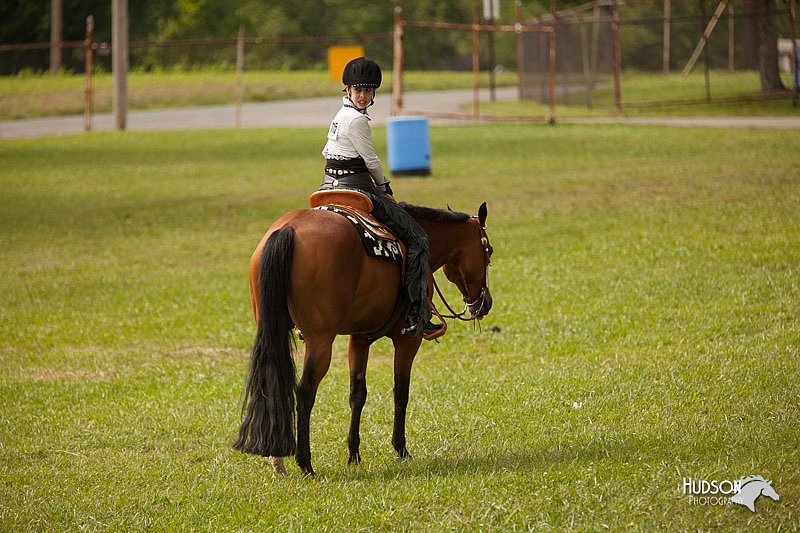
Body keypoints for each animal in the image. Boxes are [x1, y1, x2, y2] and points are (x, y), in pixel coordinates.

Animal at [233, 196, 494, 474]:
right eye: (488, 252)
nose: (485, 303)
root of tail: (288, 229)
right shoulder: (407, 340)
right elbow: (401, 391)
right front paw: (401, 449)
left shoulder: (359, 338)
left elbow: (357, 394)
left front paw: (353, 454)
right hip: (320, 340)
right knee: (304, 391)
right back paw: (306, 463)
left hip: (273, 330)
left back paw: (277, 461)